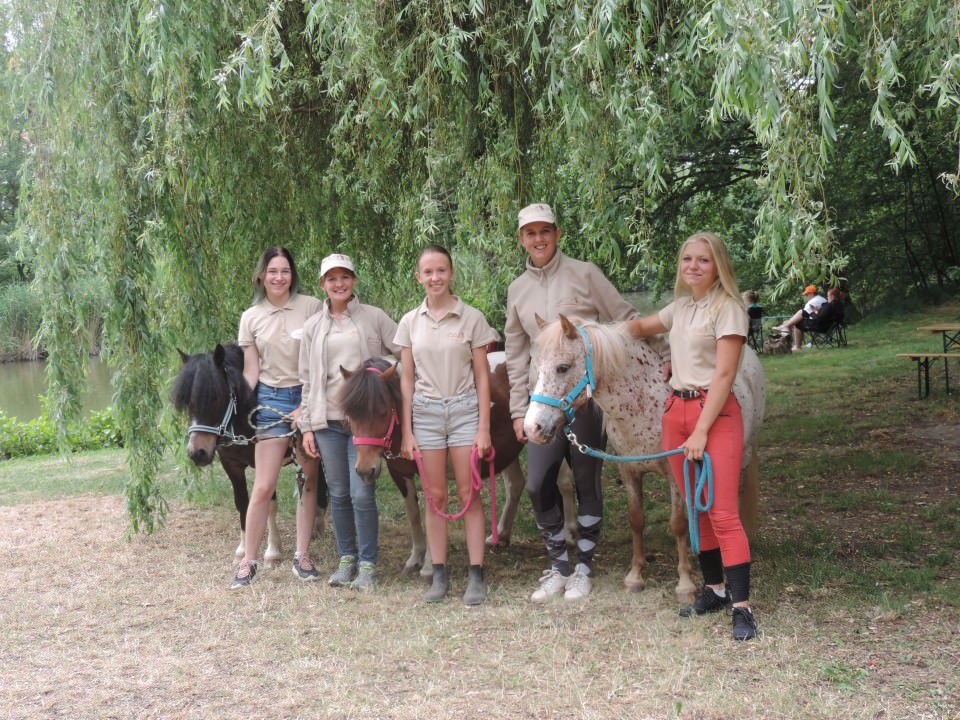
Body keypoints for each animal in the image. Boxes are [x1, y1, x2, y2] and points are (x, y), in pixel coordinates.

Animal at [524, 316, 764, 600]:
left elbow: (678, 524)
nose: (532, 428)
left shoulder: (674, 473)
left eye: (562, 367)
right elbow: (636, 520)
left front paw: (685, 584)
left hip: (740, 456)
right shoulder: (629, 472)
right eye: (535, 368)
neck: (643, 405)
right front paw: (635, 576)